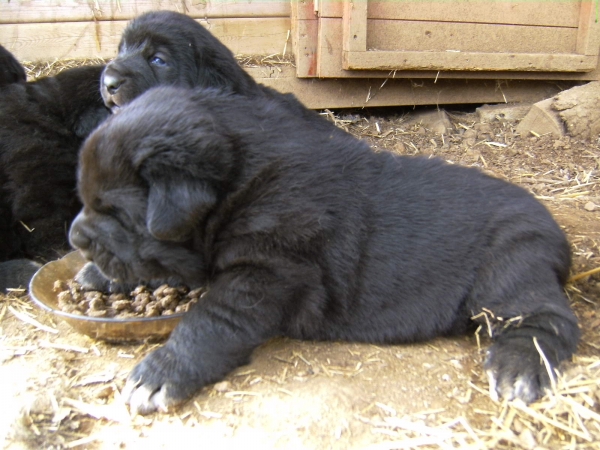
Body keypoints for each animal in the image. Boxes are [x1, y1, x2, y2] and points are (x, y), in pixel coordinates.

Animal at [70, 86, 580, 416]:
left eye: (112, 210)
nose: (76, 238)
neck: (239, 186)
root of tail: (557, 233)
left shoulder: (267, 270)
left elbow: (211, 321)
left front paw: (160, 373)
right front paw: (98, 276)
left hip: (511, 264)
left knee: (548, 318)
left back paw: (518, 366)